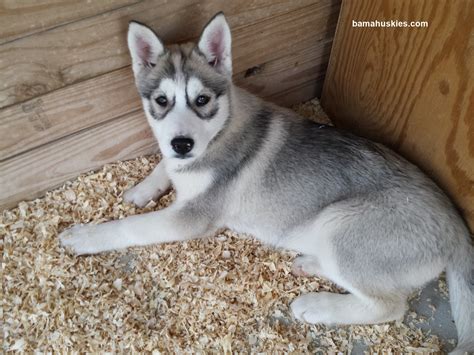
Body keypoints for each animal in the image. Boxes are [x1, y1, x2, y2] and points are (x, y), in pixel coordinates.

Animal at [59, 12, 474, 354]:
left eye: (202, 100)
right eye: (162, 100)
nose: (182, 143)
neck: (218, 133)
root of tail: (457, 226)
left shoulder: (191, 217)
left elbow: (130, 227)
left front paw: (85, 236)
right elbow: (163, 168)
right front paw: (142, 189)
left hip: (341, 223)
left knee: (389, 305)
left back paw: (317, 305)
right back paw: (309, 263)